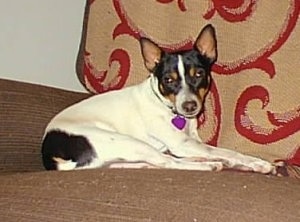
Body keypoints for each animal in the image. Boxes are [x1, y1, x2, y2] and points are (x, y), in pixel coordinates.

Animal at [41, 23, 276, 173]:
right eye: (168, 79)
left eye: (198, 74)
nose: (189, 106)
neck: (167, 106)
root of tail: (50, 154)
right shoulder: (181, 143)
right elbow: (228, 152)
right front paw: (257, 163)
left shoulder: (192, 141)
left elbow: (217, 151)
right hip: (127, 141)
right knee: (169, 163)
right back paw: (207, 165)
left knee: (156, 162)